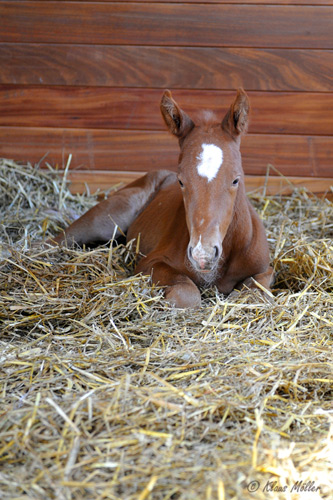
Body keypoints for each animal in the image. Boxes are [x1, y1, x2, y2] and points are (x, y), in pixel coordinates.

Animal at [49, 90, 272, 308]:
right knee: (56, 241)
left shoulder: (265, 270)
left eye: (236, 180)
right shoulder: (151, 262)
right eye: (181, 181)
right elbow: (186, 293)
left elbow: (255, 294)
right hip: (107, 219)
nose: (203, 256)